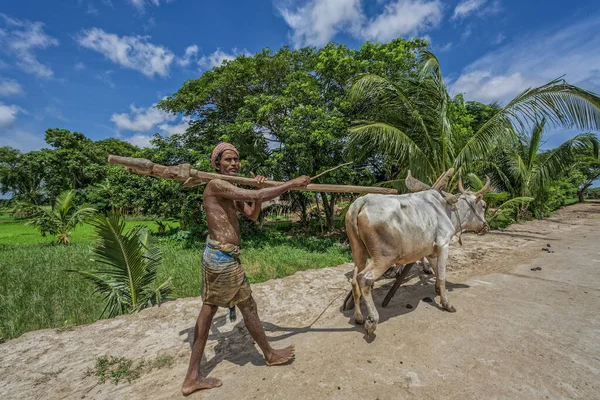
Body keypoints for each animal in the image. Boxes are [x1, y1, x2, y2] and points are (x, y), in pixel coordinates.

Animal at [344, 169, 490, 338]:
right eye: (484, 205)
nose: (486, 226)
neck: (448, 210)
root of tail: (362, 201)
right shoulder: (444, 244)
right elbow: (442, 276)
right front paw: (446, 303)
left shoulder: (432, 251)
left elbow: (436, 272)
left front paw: (438, 290)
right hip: (384, 258)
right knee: (364, 279)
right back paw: (372, 320)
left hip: (358, 253)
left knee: (354, 280)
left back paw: (359, 316)